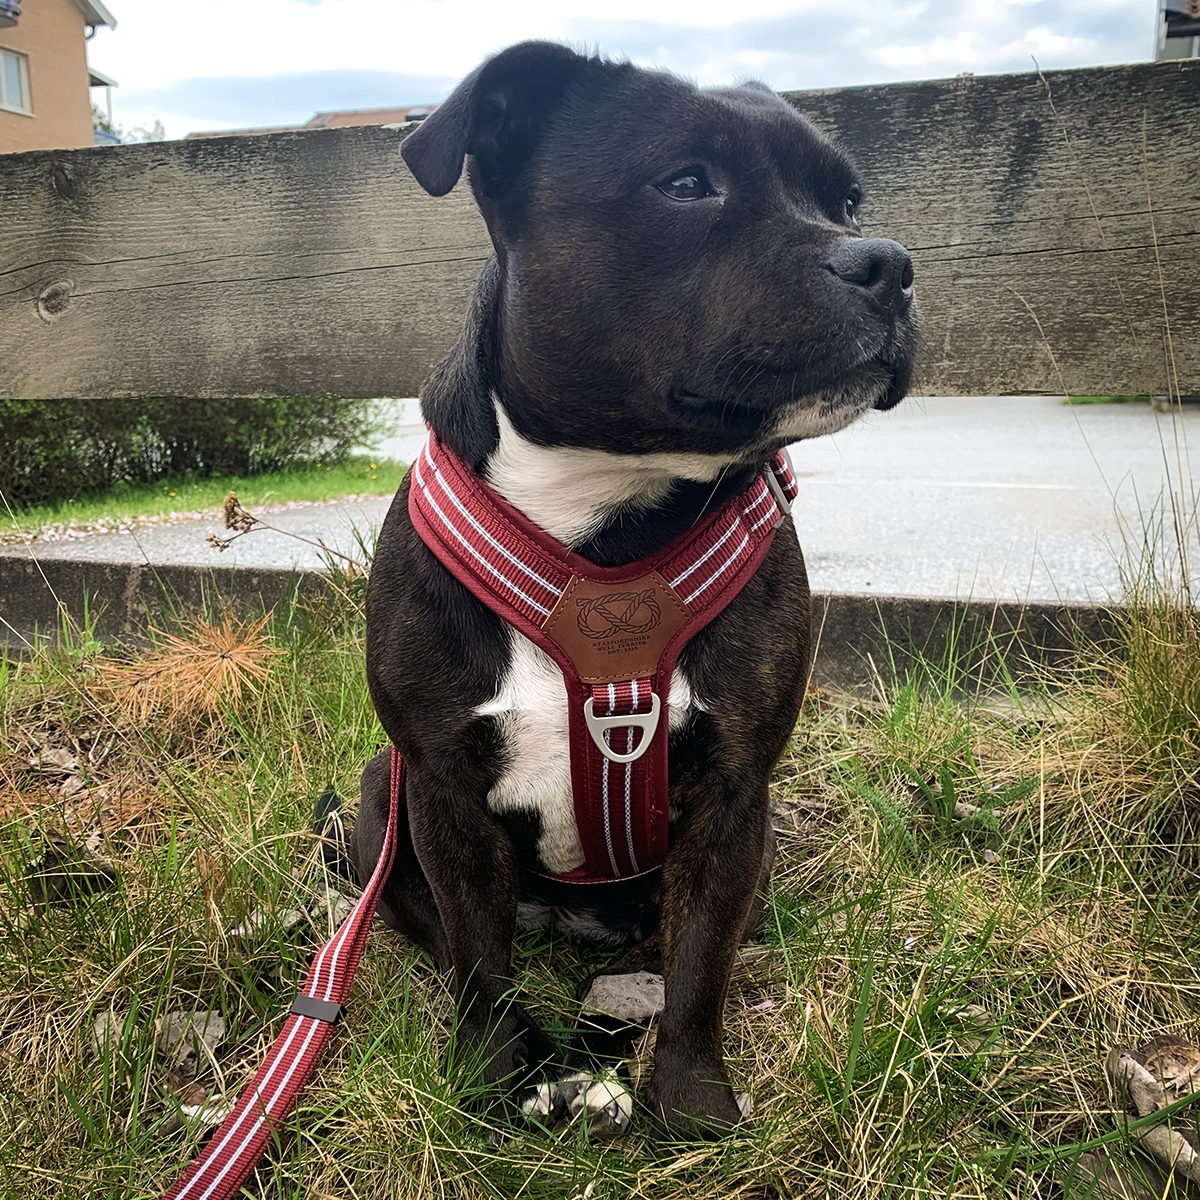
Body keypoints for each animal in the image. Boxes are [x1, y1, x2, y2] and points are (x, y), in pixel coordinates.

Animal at [350, 42, 921, 1137]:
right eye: (687, 184)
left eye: (847, 198)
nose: (888, 260)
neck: (605, 519)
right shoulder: (441, 790)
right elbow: (477, 956)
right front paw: (498, 1072)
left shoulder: (736, 796)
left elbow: (701, 964)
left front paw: (690, 1101)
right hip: (374, 802)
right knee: (450, 936)